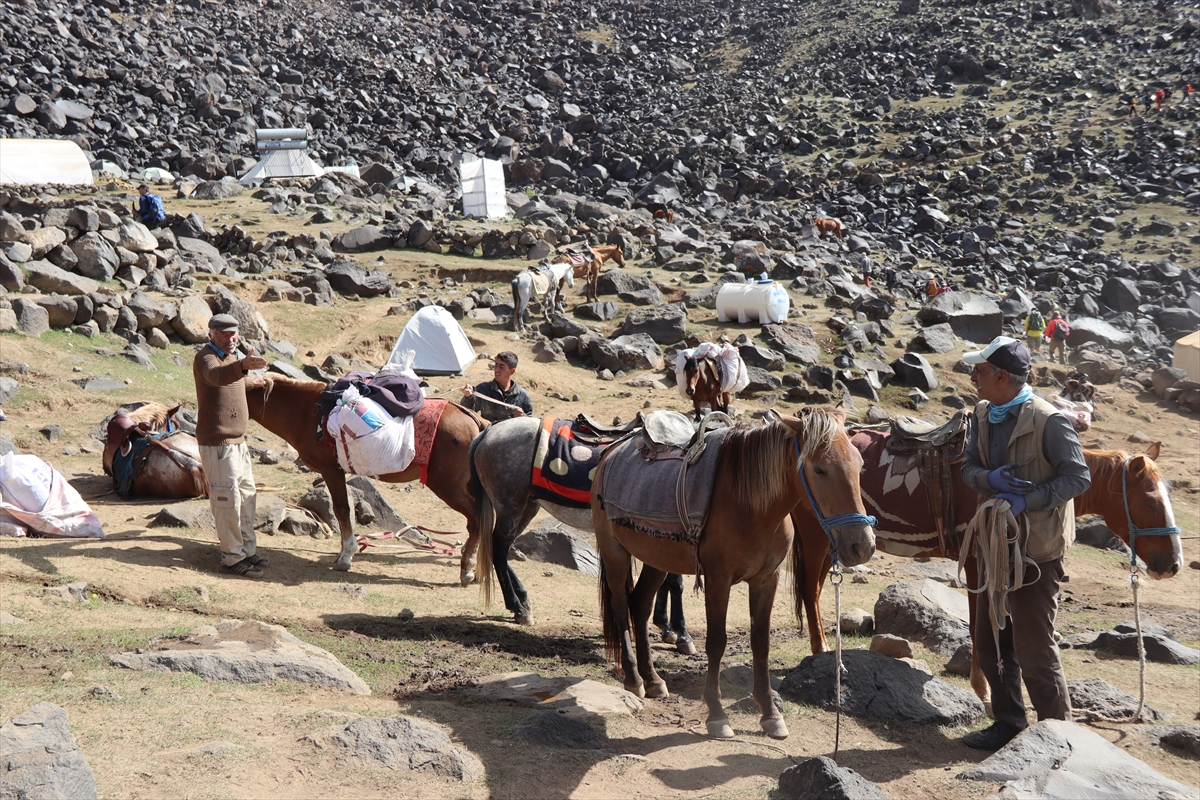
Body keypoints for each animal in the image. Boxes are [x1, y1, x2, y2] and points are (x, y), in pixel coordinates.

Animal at [241, 371, 484, 578]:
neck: (307, 413)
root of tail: (476, 421)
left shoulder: (331, 470)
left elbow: (342, 510)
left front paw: (346, 556)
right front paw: (343, 553)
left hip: (448, 488)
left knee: (476, 518)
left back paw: (468, 568)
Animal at [468, 417, 696, 652]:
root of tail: (489, 432)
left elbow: (667, 580)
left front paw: (666, 627)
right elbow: (675, 583)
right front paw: (682, 634)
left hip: (527, 508)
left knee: (501, 549)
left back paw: (522, 600)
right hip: (510, 507)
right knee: (499, 550)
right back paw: (518, 608)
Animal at [595, 410, 878, 743]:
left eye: (859, 464)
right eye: (819, 469)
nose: (862, 545)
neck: (753, 506)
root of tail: (611, 451)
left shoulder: (766, 580)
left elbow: (761, 643)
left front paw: (770, 714)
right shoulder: (718, 580)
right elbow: (716, 642)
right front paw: (717, 715)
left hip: (658, 559)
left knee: (639, 605)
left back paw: (653, 680)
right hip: (615, 552)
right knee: (620, 607)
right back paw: (634, 678)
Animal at [792, 438, 1176, 714]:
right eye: (1151, 502)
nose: (1172, 564)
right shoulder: (978, 564)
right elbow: (979, 627)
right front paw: (985, 692)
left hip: (836, 543)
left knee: (816, 590)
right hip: (816, 535)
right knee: (810, 590)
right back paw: (821, 651)